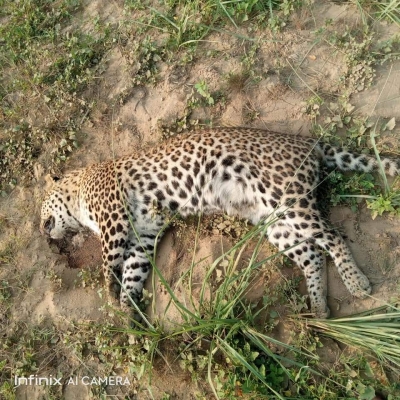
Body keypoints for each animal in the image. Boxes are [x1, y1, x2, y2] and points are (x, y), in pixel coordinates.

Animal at [39, 128, 400, 318]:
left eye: (40, 209)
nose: (44, 233)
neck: (79, 188)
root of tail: (307, 142)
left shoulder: (112, 218)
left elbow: (107, 262)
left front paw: (110, 295)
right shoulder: (143, 234)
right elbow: (133, 271)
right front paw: (129, 313)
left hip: (288, 200)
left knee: (334, 237)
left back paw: (356, 283)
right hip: (274, 220)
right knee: (311, 254)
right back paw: (320, 306)